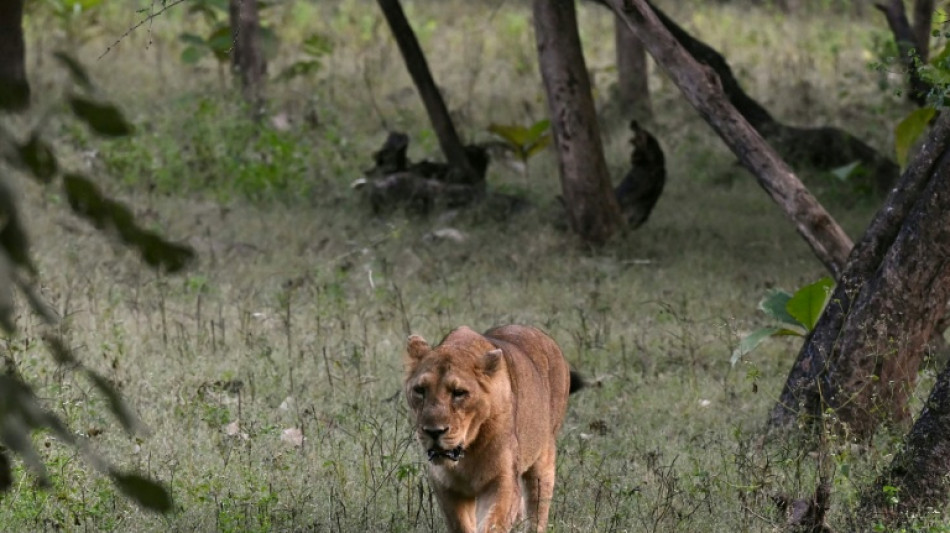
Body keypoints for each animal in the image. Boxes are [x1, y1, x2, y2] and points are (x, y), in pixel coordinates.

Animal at [404, 325, 583, 533]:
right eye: (420, 390)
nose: (434, 432)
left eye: (459, 393)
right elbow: (462, 525)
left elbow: (494, 523)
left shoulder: (503, 481)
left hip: (542, 463)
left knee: (536, 511)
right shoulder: (446, 486)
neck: (468, 451)